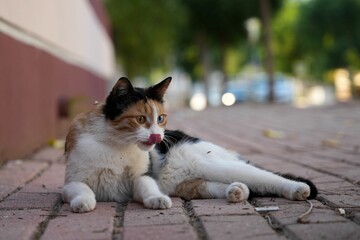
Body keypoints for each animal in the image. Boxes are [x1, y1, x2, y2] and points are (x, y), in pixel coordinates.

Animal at [63, 76, 316, 212]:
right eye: (141, 119)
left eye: (160, 118)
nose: (157, 138)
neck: (116, 145)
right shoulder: (70, 182)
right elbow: (81, 188)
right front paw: (83, 202)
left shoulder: (143, 176)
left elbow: (146, 186)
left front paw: (156, 199)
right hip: (187, 184)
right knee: (227, 185)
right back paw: (237, 191)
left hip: (212, 163)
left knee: (266, 176)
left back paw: (297, 189)